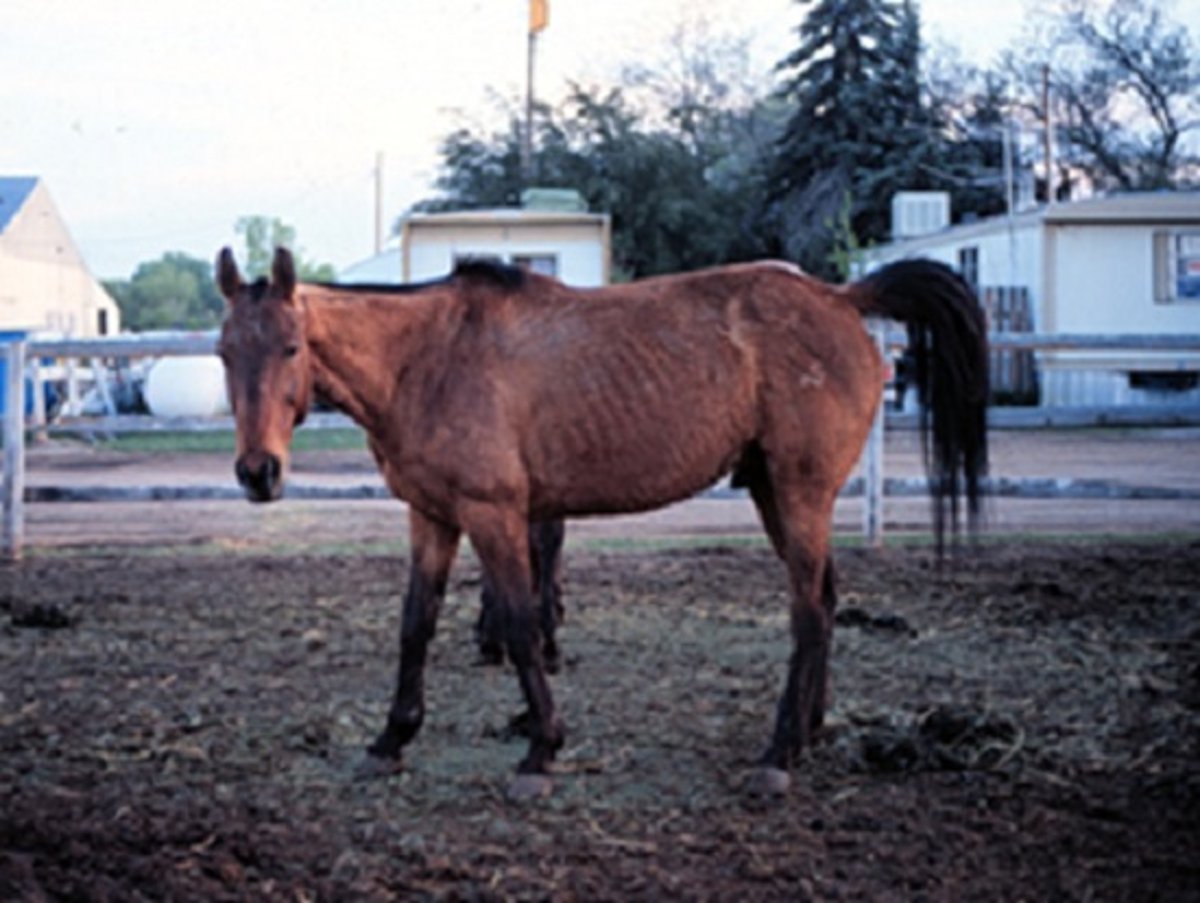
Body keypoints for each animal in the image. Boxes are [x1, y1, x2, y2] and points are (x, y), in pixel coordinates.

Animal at [213, 244, 984, 797]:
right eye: (224, 352)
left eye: (290, 347)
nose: (258, 472)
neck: (426, 359)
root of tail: (841, 297)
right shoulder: (431, 516)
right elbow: (414, 626)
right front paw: (390, 740)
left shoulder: (495, 516)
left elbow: (521, 624)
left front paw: (540, 750)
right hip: (774, 493)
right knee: (823, 599)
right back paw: (808, 732)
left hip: (799, 494)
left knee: (808, 612)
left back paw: (777, 756)